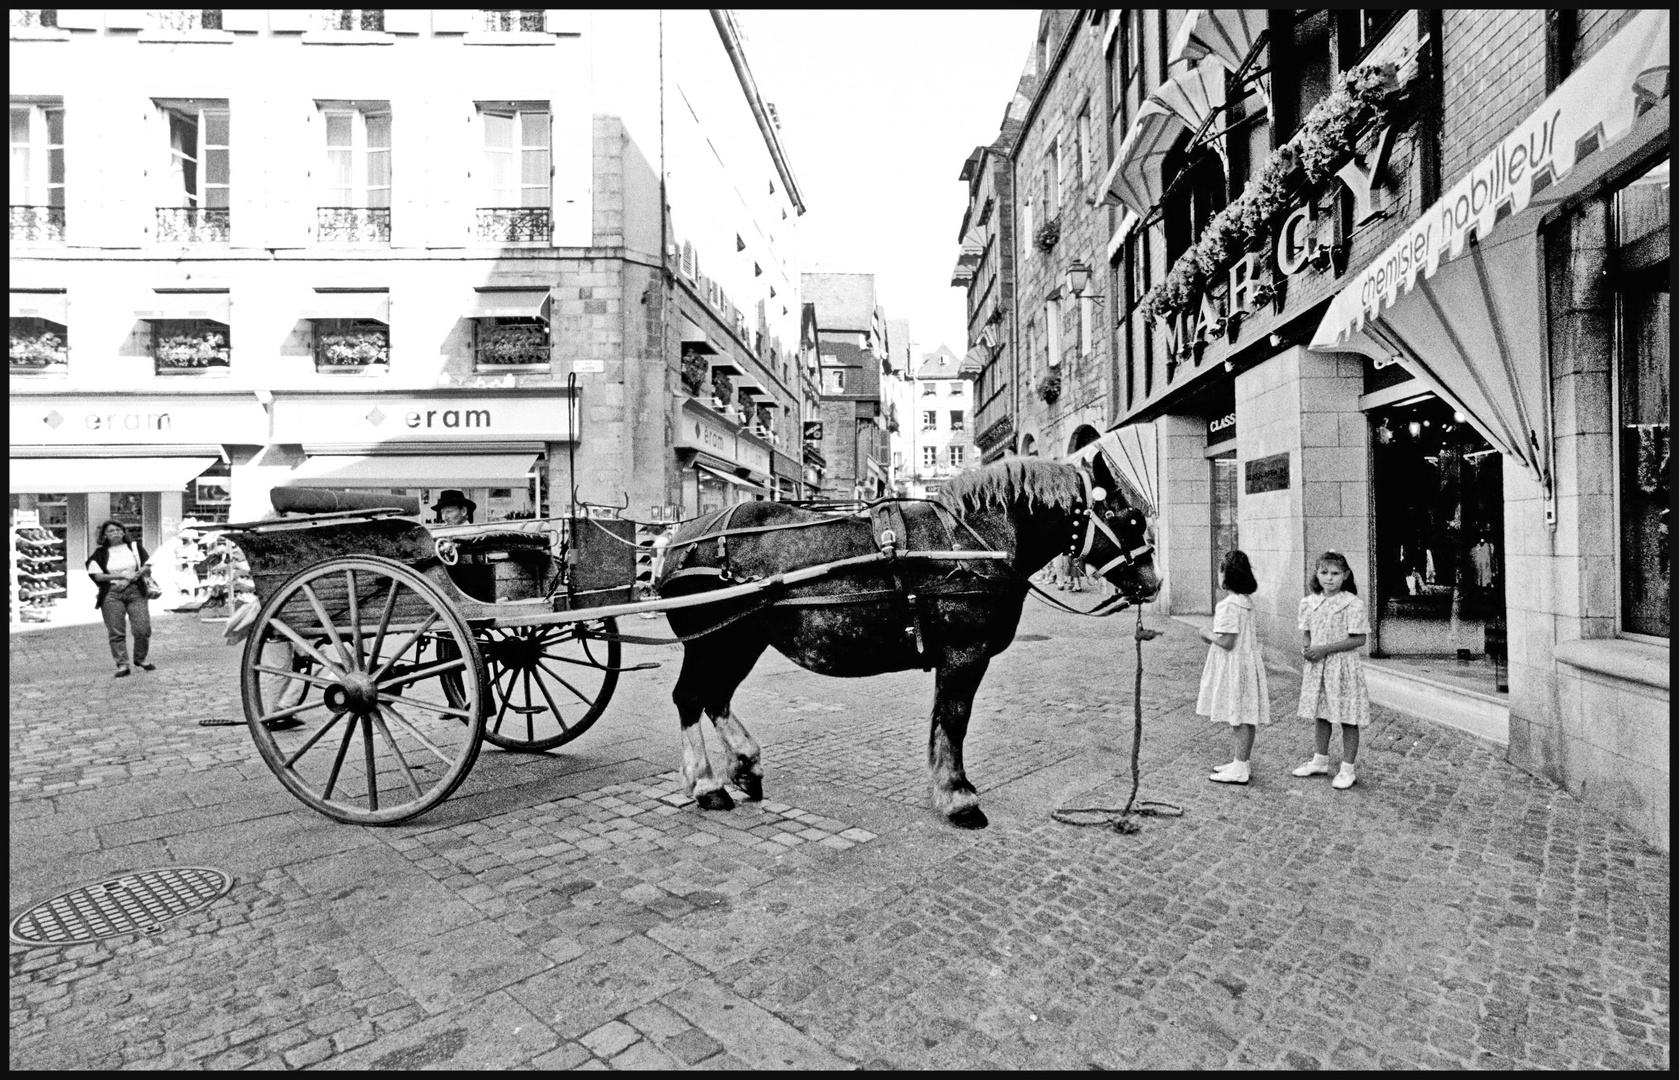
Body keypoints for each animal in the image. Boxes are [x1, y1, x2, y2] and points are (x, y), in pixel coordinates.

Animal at [654, 453, 1155, 833]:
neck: (973, 545)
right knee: (690, 698)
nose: (1153, 582)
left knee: (715, 697)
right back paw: (707, 786)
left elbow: (942, 722)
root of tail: (681, 540)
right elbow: (954, 722)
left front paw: (948, 788)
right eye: (1131, 519)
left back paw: (745, 765)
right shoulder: (964, 655)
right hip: (713, 642)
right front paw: (958, 798)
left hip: (740, 643)